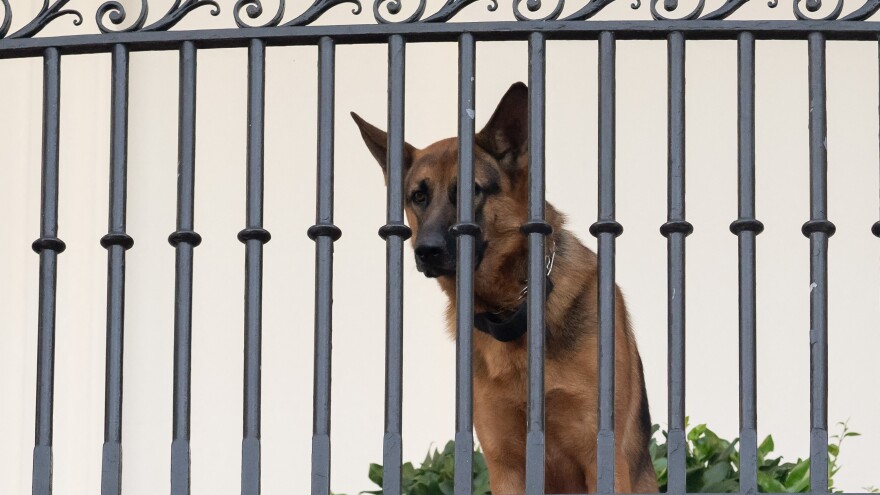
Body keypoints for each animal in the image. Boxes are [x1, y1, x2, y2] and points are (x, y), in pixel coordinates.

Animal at [354, 83, 656, 494]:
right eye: (418, 196)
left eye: (472, 191)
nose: (426, 251)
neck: (512, 309)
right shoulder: (505, 466)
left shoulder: (601, 459)